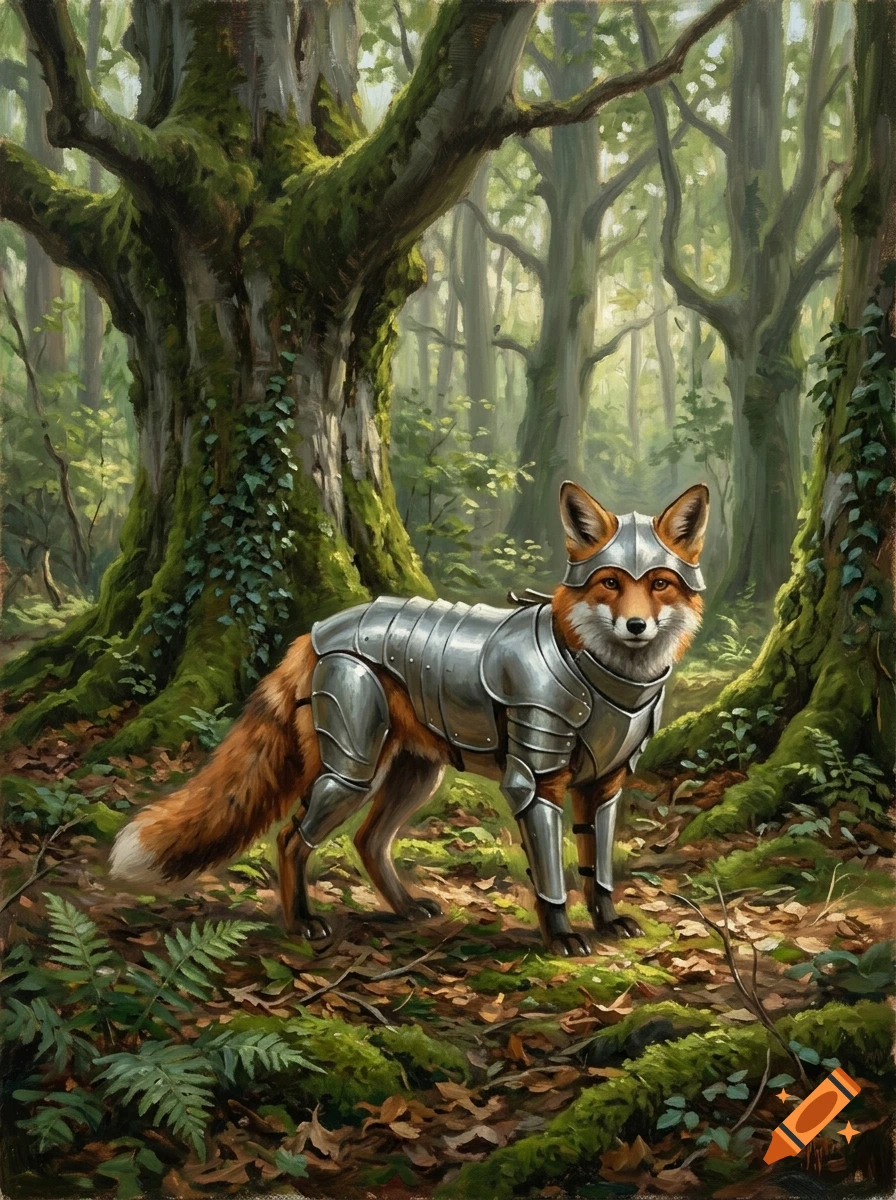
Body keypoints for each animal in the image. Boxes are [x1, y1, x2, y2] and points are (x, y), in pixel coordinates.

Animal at [109, 482, 708, 957]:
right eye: (610, 583)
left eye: (659, 584)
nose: (636, 626)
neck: (607, 680)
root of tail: (319, 629)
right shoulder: (536, 781)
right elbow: (552, 878)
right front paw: (560, 936)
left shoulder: (604, 786)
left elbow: (597, 870)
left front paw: (607, 923)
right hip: (352, 771)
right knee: (290, 839)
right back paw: (301, 922)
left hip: (415, 777)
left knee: (368, 843)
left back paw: (402, 909)